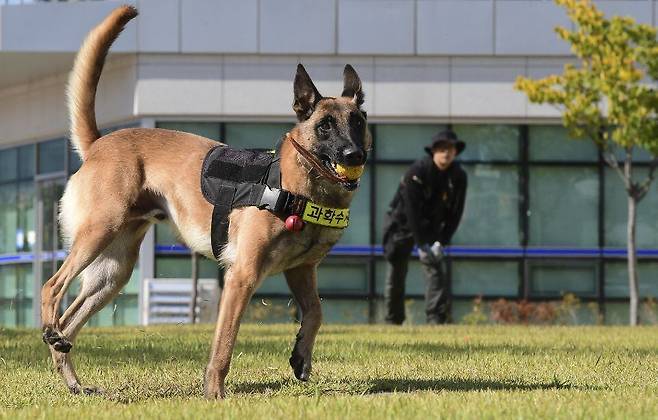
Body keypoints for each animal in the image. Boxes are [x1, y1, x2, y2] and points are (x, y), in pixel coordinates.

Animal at [39, 7, 368, 400]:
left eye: (358, 121)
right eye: (325, 126)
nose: (354, 155)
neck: (296, 185)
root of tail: (98, 144)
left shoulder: (301, 270)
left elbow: (316, 312)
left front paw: (301, 357)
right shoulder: (242, 276)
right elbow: (224, 343)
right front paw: (215, 393)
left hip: (112, 272)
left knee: (70, 323)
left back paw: (73, 379)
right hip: (98, 234)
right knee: (51, 287)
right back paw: (50, 331)